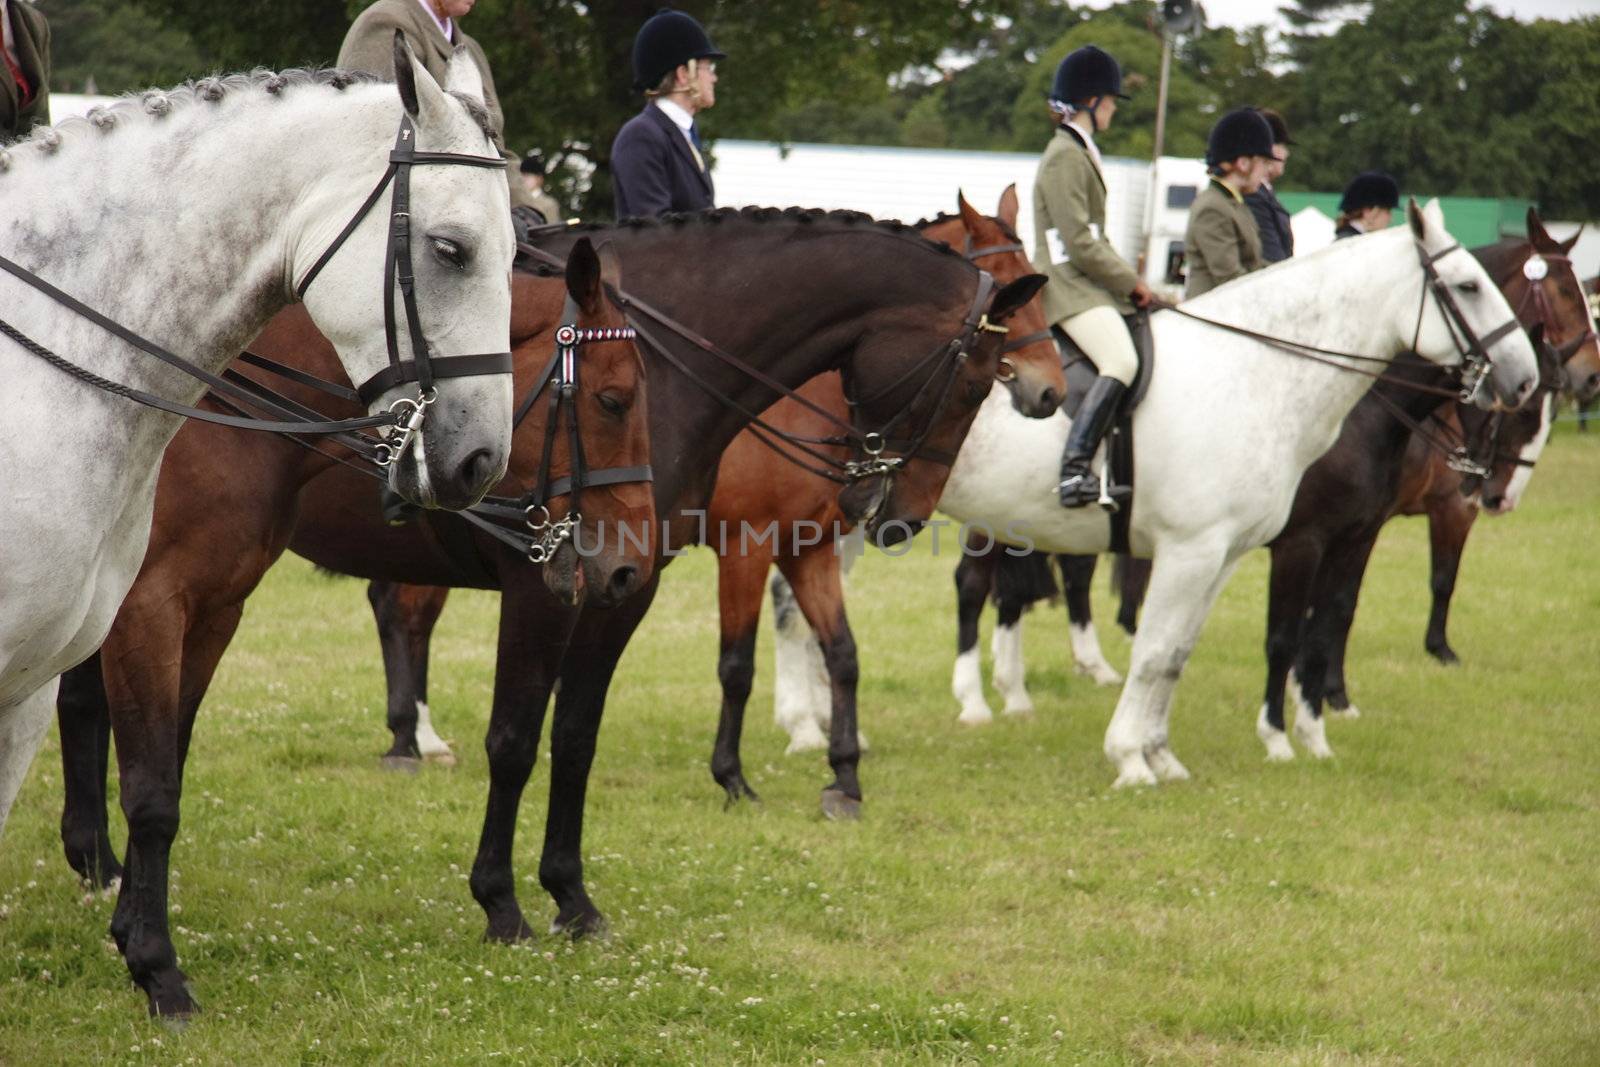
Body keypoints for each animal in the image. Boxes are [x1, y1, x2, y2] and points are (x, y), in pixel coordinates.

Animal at [53, 241, 656, 1017]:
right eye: (613, 400)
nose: (631, 568)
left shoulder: (214, 611)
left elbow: (168, 768)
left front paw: (133, 929)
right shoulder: (149, 609)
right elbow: (153, 790)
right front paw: (158, 968)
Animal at [771, 202, 1536, 783]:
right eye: (1467, 285)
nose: (1526, 377)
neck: (1255, 371)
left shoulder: (1224, 555)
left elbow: (1177, 654)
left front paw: (1162, 756)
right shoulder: (1203, 549)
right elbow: (1162, 649)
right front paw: (1132, 759)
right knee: (794, 603)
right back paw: (807, 727)